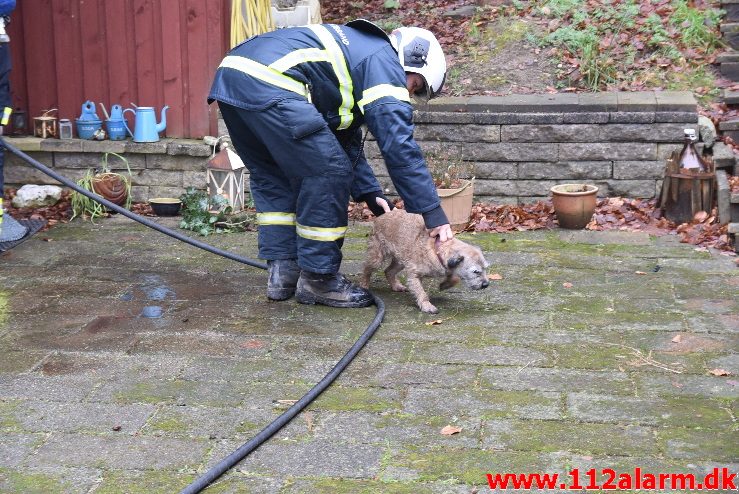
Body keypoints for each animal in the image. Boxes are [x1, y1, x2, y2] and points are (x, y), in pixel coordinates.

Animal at [360, 208, 488, 312]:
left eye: (486, 268)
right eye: (475, 271)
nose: (486, 284)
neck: (437, 249)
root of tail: (382, 216)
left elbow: (454, 277)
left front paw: (445, 285)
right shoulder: (414, 275)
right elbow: (421, 292)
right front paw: (426, 305)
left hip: (401, 260)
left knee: (388, 271)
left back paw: (396, 286)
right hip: (377, 258)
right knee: (366, 269)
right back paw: (364, 285)